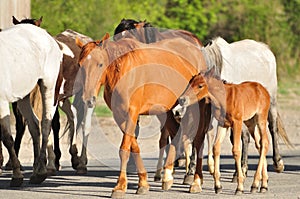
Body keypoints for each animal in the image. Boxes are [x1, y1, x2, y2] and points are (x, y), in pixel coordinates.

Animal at [0, 23, 62, 187]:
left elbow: (7, 138)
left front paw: (16, 175)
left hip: (48, 87)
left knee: (46, 124)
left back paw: (41, 172)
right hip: (24, 96)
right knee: (34, 125)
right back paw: (36, 171)